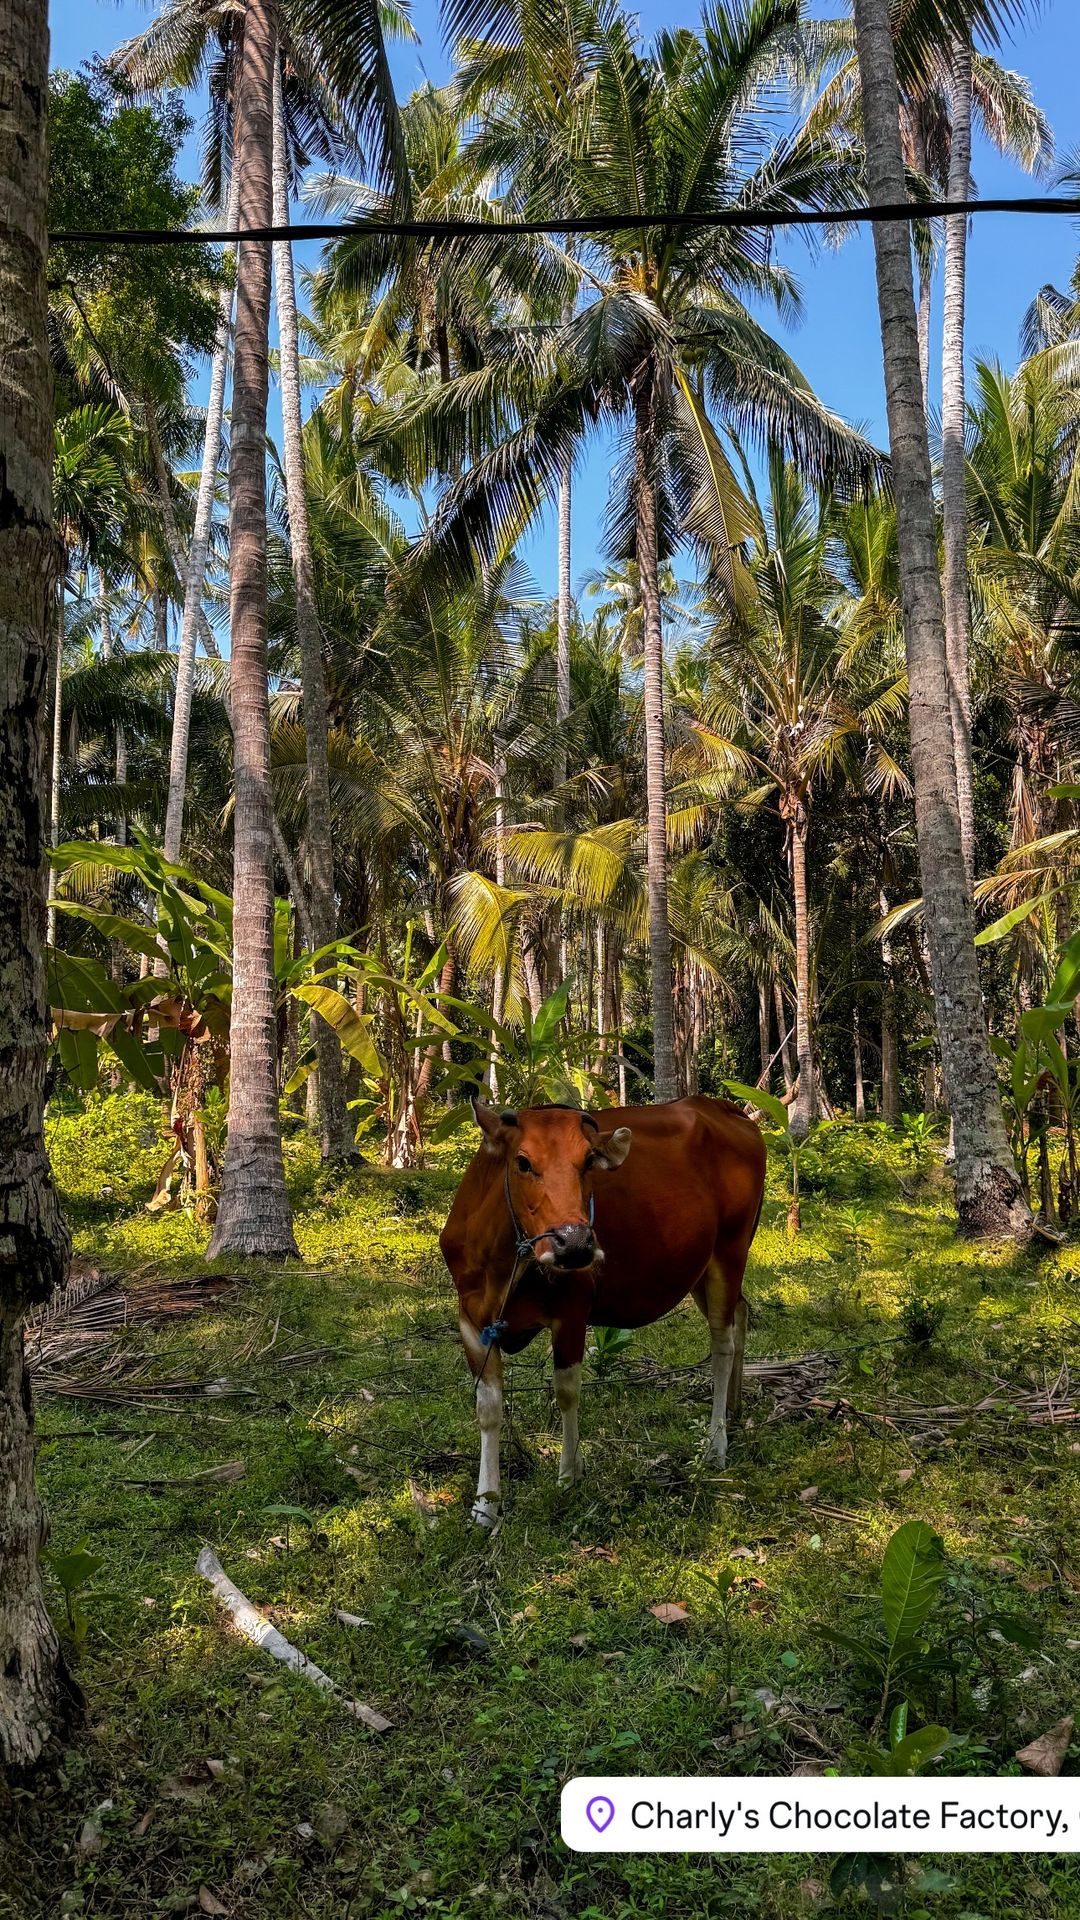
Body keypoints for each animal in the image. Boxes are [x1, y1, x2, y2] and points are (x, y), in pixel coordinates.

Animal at [440, 1105, 764, 1520]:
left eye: (588, 1161)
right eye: (523, 1162)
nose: (574, 1243)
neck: (501, 1262)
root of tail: (728, 1111)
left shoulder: (572, 1311)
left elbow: (566, 1393)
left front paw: (568, 1474)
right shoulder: (471, 1318)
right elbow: (488, 1407)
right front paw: (486, 1503)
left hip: (730, 1250)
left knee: (722, 1343)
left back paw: (715, 1442)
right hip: (699, 1266)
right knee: (741, 1312)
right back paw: (734, 1411)